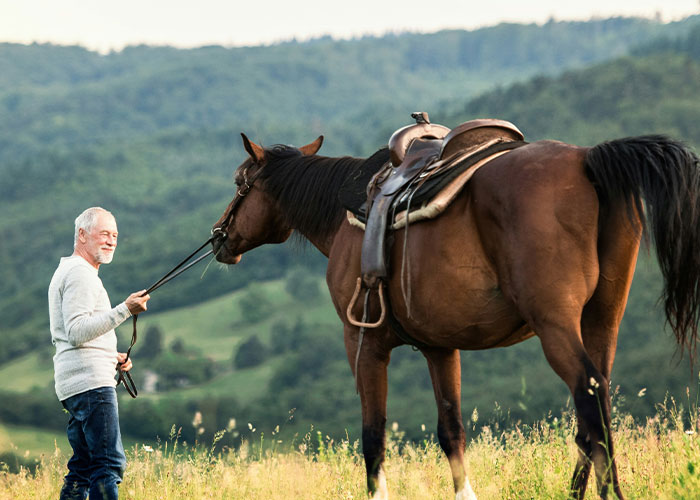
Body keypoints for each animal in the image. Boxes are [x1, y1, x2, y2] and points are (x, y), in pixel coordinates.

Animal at [211, 131, 700, 500]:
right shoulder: (440, 348)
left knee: (588, 395)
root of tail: (586, 159)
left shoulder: (363, 344)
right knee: (596, 405)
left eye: (239, 184)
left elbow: (373, 437)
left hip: (556, 325)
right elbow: (452, 431)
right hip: (602, 320)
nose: (219, 237)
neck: (347, 213)